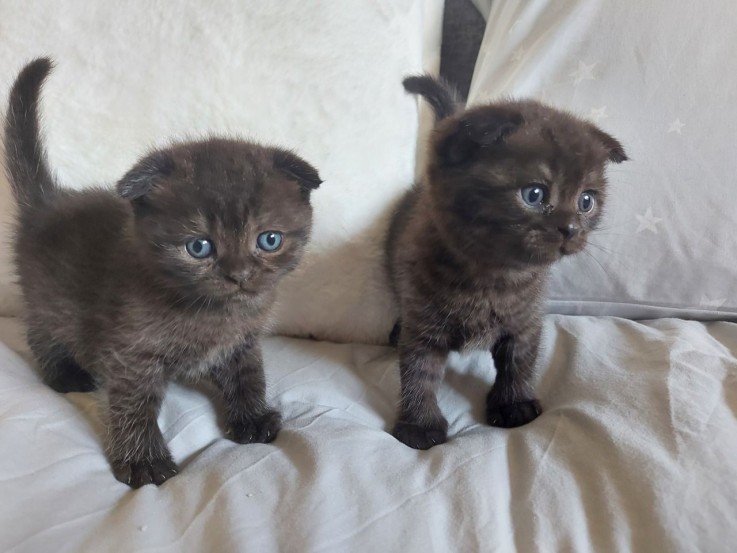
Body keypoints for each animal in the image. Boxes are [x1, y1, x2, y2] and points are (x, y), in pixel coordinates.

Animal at [5, 58, 322, 486]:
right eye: (199, 247)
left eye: (269, 240)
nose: (239, 274)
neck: (214, 313)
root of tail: (46, 202)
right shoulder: (130, 352)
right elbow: (133, 404)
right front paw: (144, 459)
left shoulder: (242, 341)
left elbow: (248, 374)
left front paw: (252, 417)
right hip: (49, 300)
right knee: (42, 332)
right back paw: (64, 373)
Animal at [386, 74, 628, 448]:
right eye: (534, 194)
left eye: (586, 201)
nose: (571, 229)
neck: (493, 278)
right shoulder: (423, 323)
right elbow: (418, 372)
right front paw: (420, 425)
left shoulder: (524, 322)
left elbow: (519, 364)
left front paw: (514, 404)